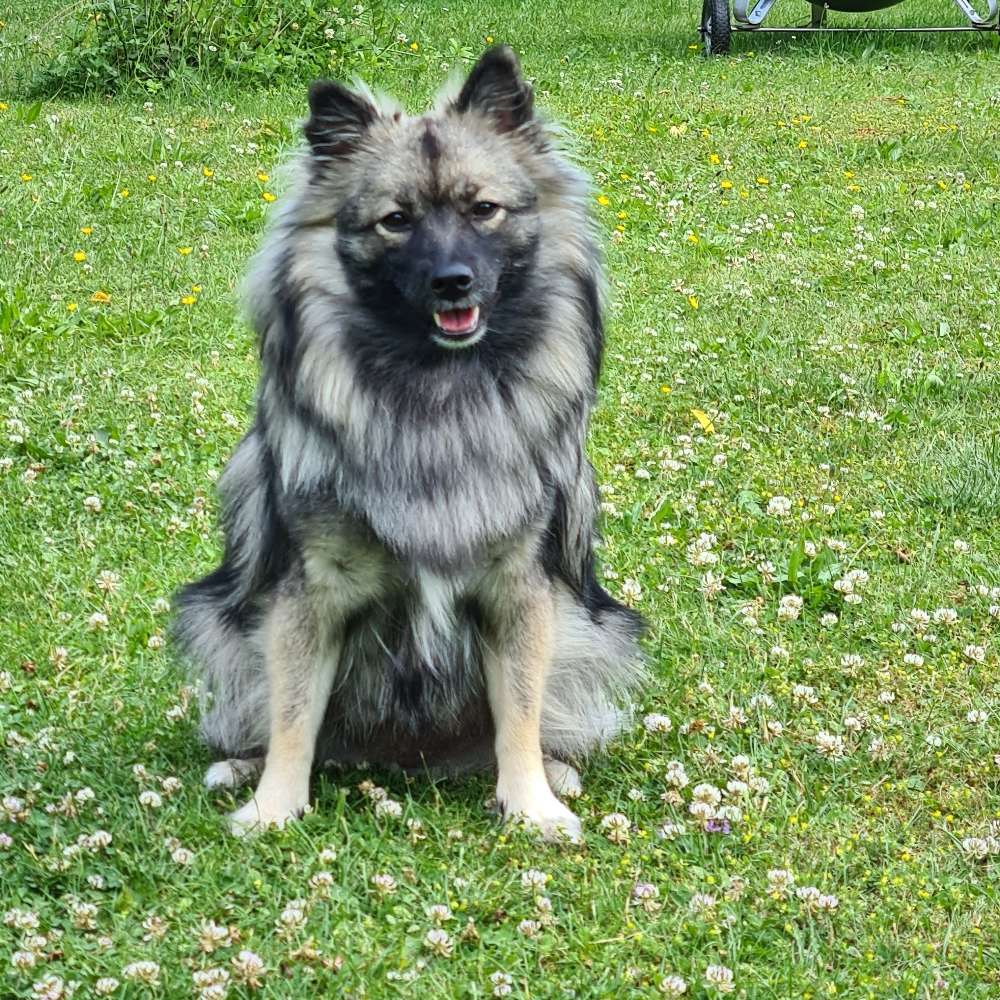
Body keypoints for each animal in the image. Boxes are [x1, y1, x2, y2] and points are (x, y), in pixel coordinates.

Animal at [172, 46, 645, 840]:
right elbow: (293, 717)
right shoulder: (310, 591)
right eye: (396, 221)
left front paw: (531, 804)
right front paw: (272, 807)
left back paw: (556, 771)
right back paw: (238, 766)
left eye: (483, 208)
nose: (453, 281)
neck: (434, 387)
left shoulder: (520, 588)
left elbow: (519, 713)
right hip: (220, 622)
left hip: (592, 629)